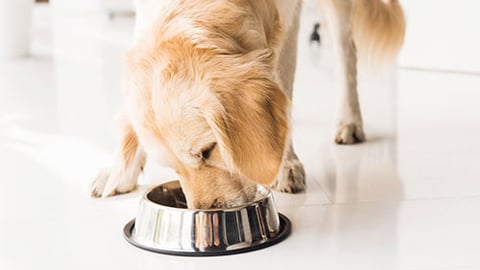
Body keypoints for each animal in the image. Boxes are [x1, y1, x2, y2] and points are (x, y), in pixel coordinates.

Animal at [91, 0, 404, 209]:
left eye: (208, 150)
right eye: (172, 168)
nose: (206, 212)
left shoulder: (287, 18)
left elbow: (282, 82)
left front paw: (284, 164)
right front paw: (119, 171)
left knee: (345, 52)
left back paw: (349, 121)